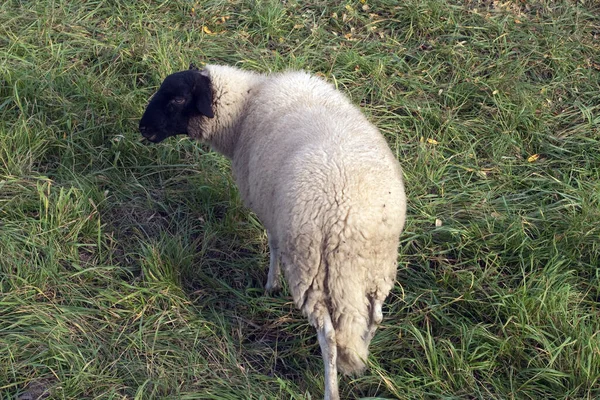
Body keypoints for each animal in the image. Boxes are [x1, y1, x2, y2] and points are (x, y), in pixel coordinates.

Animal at [138, 64, 406, 398]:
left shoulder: (270, 210)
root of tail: (348, 222)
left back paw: (331, 388)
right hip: (377, 268)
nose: (143, 128)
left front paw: (270, 285)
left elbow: (273, 245)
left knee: (329, 334)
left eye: (177, 99)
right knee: (375, 316)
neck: (244, 107)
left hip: (309, 266)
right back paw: (361, 361)